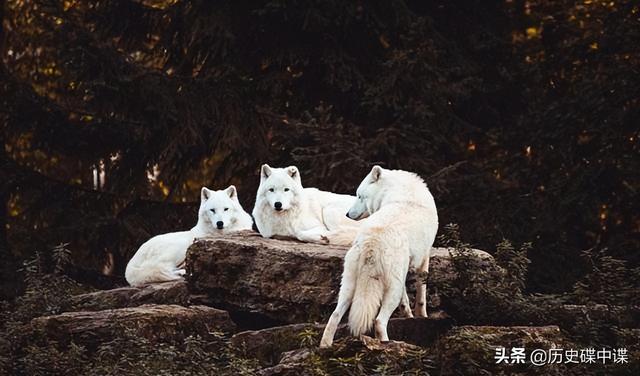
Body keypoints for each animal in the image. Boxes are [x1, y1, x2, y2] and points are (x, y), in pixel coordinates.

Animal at [320, 166, 440, 348]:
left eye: (359, 196)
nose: (347, 214)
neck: (399, 191)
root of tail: (372, 241)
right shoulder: (424, 256)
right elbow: (421, 293)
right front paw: (421, 315)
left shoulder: (405, 269)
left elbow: (406, 299)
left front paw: (409, 315)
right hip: (391, 290)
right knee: (379, 321)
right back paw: (386, 343)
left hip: (348, 284)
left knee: (334, 315)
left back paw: (324, 345)